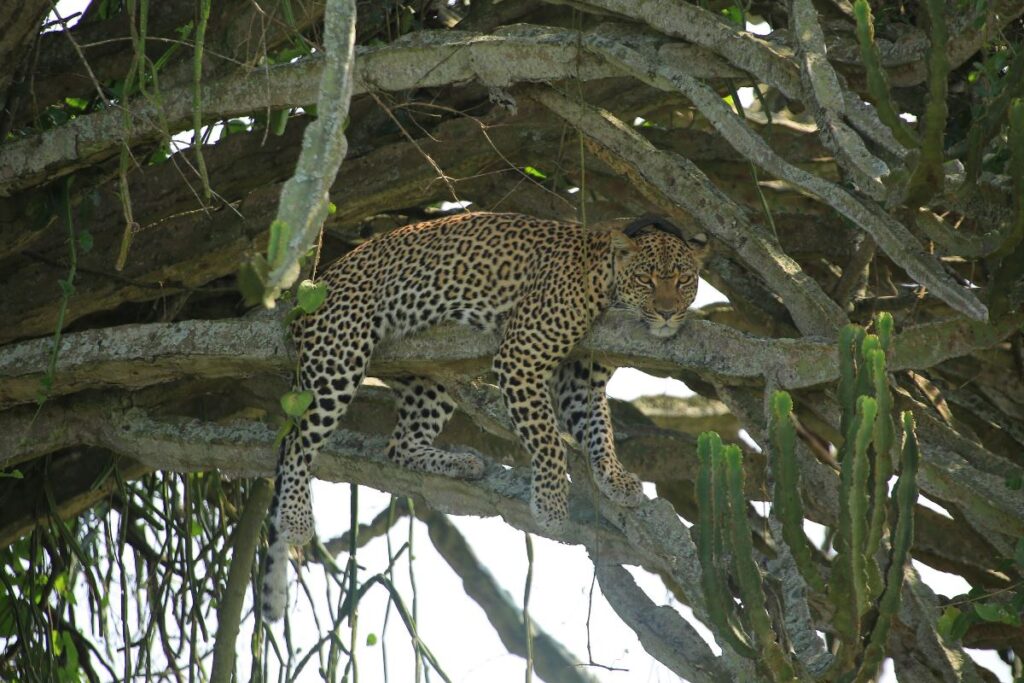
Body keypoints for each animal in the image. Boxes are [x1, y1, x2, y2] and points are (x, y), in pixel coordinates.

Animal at [264, 211, 708, 618]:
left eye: (683, 280)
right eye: (647, 279)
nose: (667, 313)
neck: (605, 286)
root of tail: (315, 286)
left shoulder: (581, 382)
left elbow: (600, 430)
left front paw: (614, 478)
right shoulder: (521, 357)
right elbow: (549, 441)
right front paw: (550, 505)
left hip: (429, 379)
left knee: (399, 443)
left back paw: (459, 463)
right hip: (338, 357)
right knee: (296, 445)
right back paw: (297, 518)